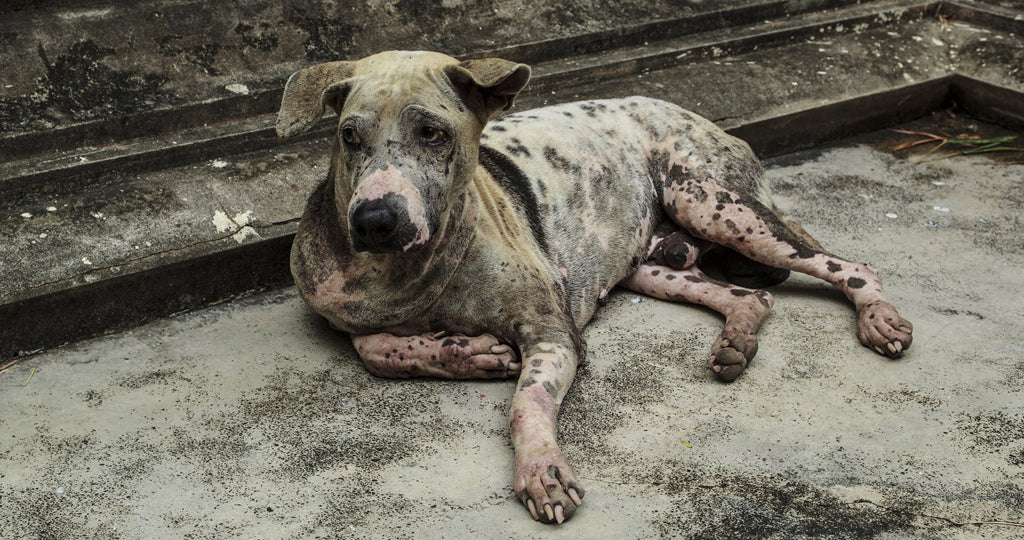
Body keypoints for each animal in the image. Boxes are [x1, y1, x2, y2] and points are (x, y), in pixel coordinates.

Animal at [272, 50, 913, 524]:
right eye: (349, 136)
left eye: (432, 132)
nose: (375, 220)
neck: (411, 275)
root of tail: (699, 116)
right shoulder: (347, 314)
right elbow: (375, 349)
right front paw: (466, 353)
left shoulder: (553, 332)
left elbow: (526, 403)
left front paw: (540, 468)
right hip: (652, 263)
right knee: (749, 294)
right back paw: (736, 339)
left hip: (712, 202)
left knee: (849, 264)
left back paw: (877, 315)